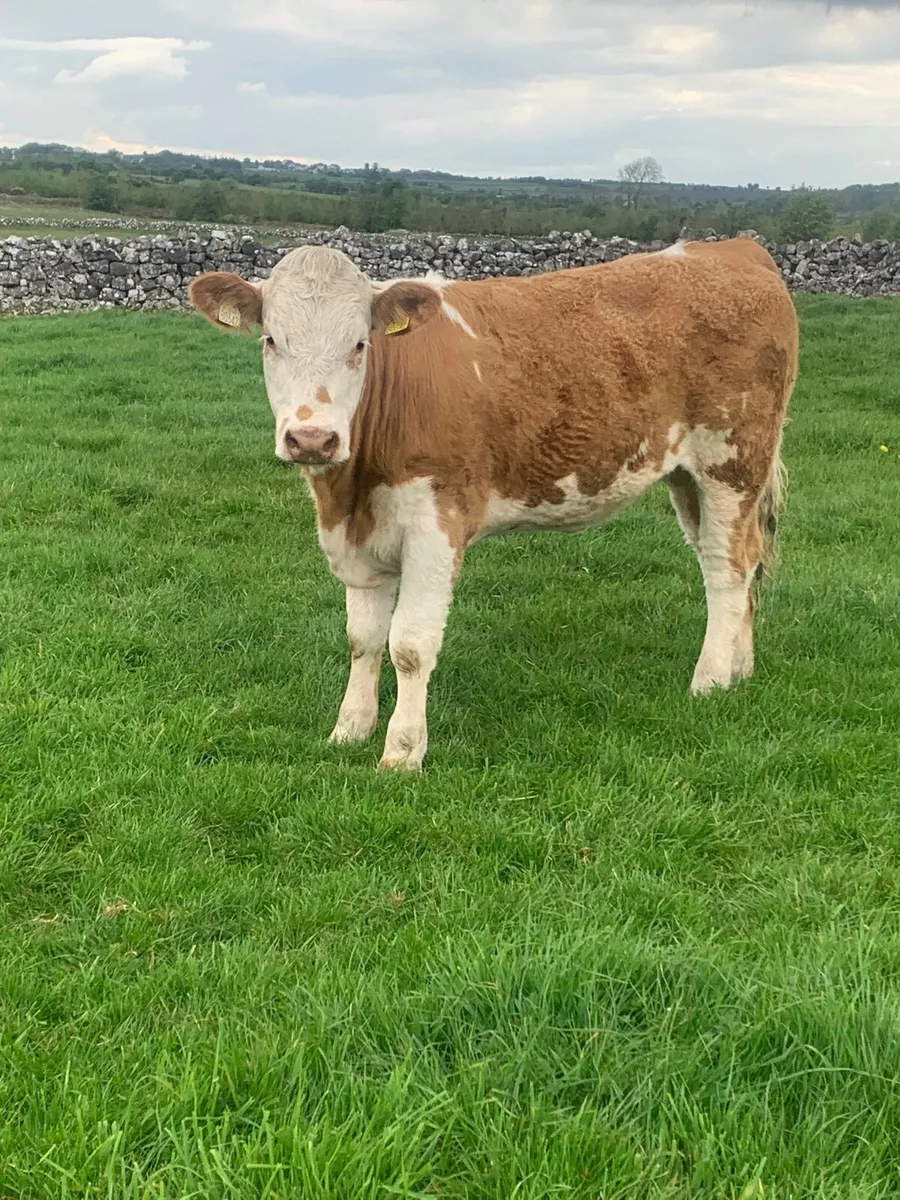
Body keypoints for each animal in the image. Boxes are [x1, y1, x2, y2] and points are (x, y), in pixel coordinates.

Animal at [188, 237, 798, 771]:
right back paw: (740, 669)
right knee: (740, 559)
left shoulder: (436, 525)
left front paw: (403, 752)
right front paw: (350, 729)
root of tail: (736, 248)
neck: (350, 492)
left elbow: (409, 645)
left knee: (726, 567)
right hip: (687, 477)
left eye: (359, 345)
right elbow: (363, 639)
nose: (312, 439)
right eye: (271, 340)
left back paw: (710, 681)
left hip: (732, 461)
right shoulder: (358, 535)